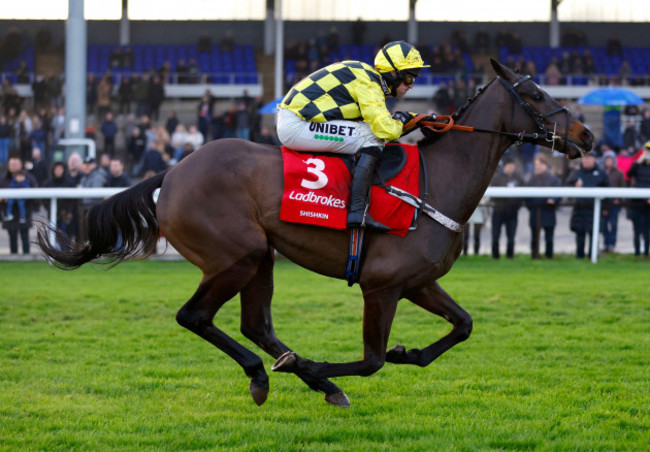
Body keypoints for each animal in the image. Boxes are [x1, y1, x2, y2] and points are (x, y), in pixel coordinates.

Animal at [36, 58, 592, 408]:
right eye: (535, 93)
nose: (586, 136)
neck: (439, 180)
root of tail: (172, 172)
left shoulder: (418, 282)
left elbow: (463, 325)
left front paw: (406, 353)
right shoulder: (382, 286)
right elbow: (371, 361)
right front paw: (334, 368)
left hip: (260, 256)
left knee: (255, 324)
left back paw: (290, 370)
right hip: (235, 254)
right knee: (194, 316)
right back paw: (273, 373)